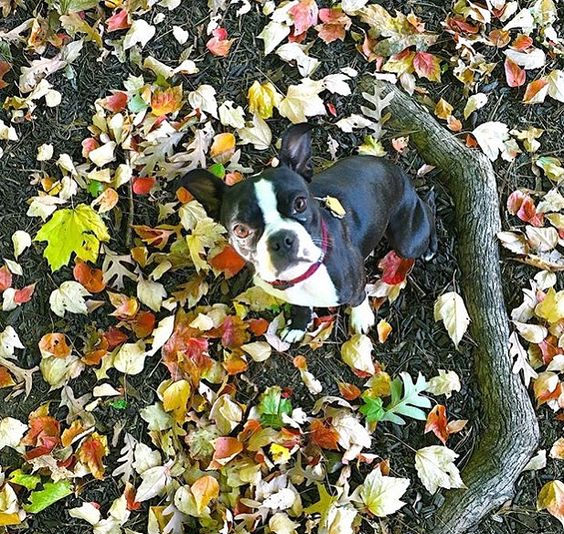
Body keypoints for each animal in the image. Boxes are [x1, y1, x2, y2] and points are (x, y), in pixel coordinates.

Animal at [180, 124, 436, 344]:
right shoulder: (294, 296)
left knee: (427, 213)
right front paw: (298, 326)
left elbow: (358, 297)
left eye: (300, 204)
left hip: (407, 241)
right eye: (240, 230)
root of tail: (396, 170)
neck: (302, 276)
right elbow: (301, 308)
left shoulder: (353, 285)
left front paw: (361, 317)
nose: (281, 240)